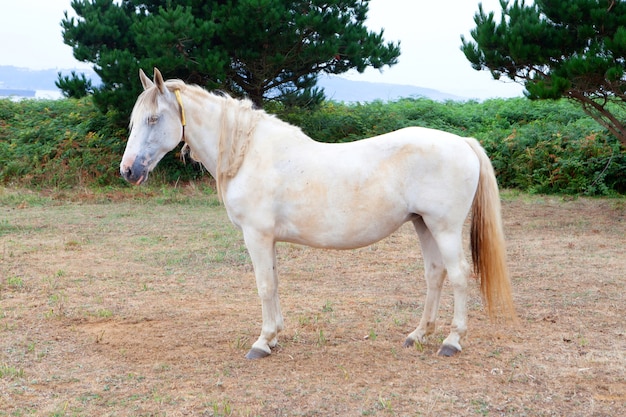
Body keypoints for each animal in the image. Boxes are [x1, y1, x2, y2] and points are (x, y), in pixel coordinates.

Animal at [119, 67, 516, 358]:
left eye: (153, 119)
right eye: (135, 121)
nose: (128, 170)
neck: (249, 152)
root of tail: (462, 142)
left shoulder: (256, 235)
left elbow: (264, 285)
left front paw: (261, 342)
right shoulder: (268, 239)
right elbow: (274, 282)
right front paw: (274, 336)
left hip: (444, 228)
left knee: (459, 275)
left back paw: (452, 341)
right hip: (424, 225)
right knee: (435, 275)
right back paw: (418, 335)